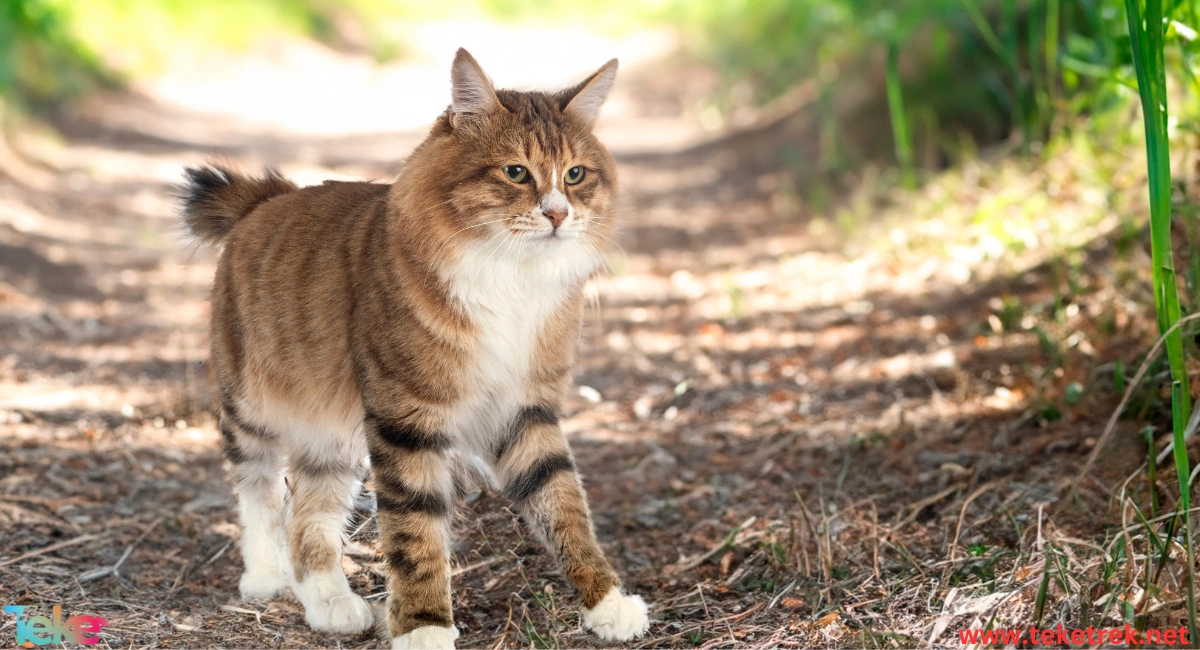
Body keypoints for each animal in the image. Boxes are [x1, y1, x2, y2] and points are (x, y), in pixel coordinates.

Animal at [177, 48, 648, 647]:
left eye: (575, 175)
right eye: (516, 172)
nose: (558, 214)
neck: (511, 279)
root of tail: (271, 197)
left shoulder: (526, 410)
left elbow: (565, 508)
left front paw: (607, 602)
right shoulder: (406, 420)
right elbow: (415, 533)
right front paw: (424, 626)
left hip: (328, 437)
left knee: (307, 518)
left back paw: (332, 603)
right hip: (251, 408)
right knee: (259, 492)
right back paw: (264, 577)